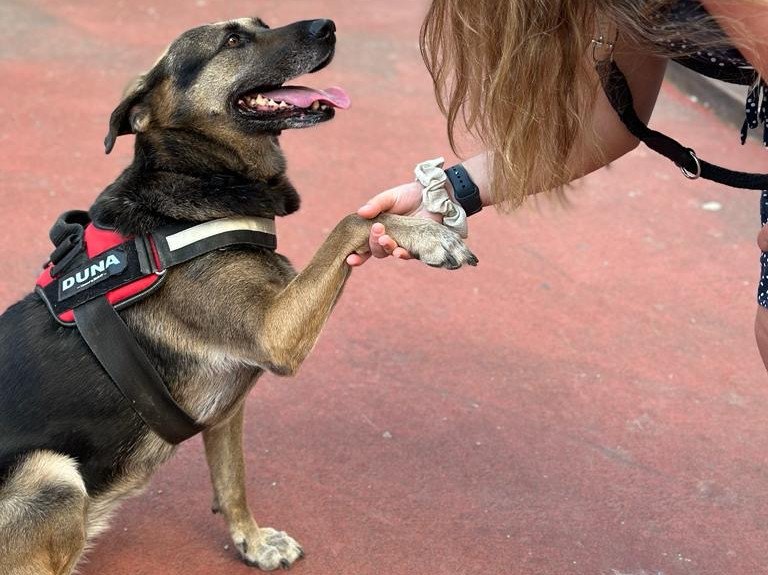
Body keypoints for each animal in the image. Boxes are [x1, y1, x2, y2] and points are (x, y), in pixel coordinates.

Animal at [0, 16, 477, 575]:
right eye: (232, 41)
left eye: (260, 26)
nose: (327, 25)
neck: (193, 182)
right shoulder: (274, 333)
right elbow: (351, 221)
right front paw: (427, 235)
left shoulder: (229, 409)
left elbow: (233, 483)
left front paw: (252, 542)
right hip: (50, 476)